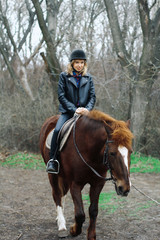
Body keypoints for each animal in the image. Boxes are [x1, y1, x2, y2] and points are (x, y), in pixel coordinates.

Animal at [39, 109, 134, 239]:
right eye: (112, 153)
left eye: (131, 152)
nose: (124, 188)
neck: (90, 151)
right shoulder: (75, 184)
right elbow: (80, 214)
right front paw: (74, 230)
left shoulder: (97, 184)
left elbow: (93, 210)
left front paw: (91, 235)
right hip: (53, 175)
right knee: (57, 195)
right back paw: (62, 226)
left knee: (62, 194)